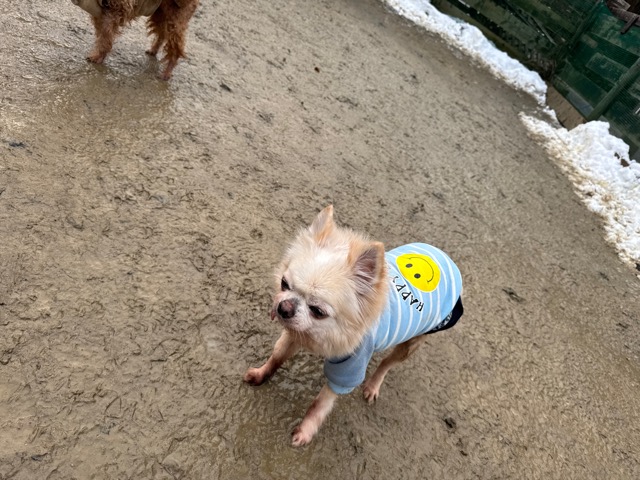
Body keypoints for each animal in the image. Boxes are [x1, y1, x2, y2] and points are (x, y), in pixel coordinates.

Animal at [71, 0, 199, 79]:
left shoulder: (117, 9)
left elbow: (105, 37)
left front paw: (98, 56)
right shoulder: (101, 12)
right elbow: (102, 34)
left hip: (176, 16)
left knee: (175, 47)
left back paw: (166, 73)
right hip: (161, 12)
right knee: (162, 33)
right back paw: (153, 50)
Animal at [244, 205, 464, 446]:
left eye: (318, 311)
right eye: (284, 284)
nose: (284, 307)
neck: (322, 335)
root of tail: (446, 259)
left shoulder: (348, 369)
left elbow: (320, 404)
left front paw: (306, 430)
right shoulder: (294, 335)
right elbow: (276, 356)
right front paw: (261, 374)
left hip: (412, 343)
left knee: (387, 363)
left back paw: (373, 384)